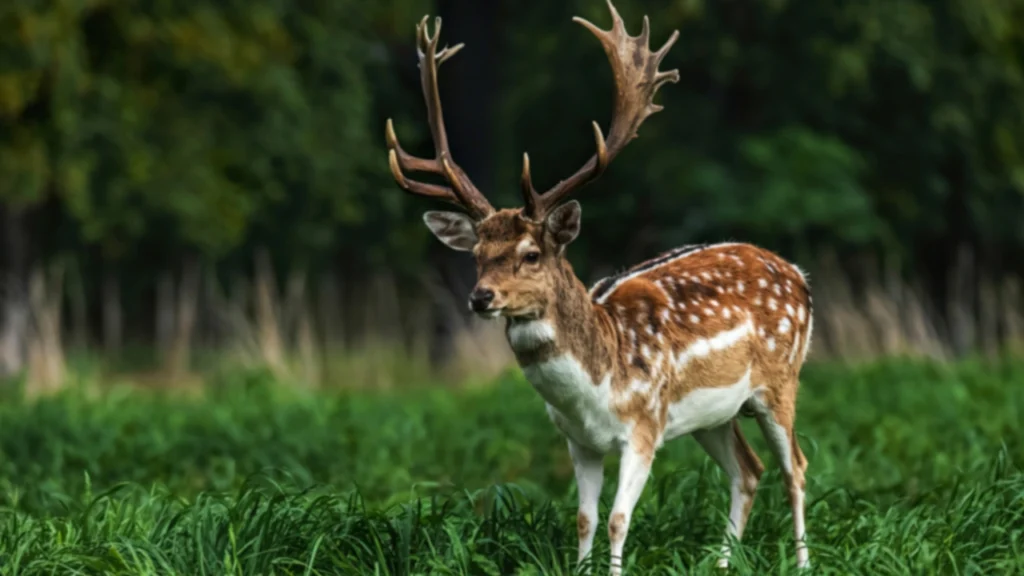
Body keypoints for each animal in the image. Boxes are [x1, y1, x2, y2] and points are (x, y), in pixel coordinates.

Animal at [384, 1, 813, 573]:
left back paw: (803, 561)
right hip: (714, 415)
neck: (598, 387)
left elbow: (617, 520)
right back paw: (723, 562)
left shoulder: (644, 428)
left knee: (795, 468)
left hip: (780, 382)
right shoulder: (577, 441)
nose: (480, 298)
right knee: (748, 470)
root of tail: (798, 274)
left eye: (531, 253)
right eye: (475, 256)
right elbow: (585, 519)